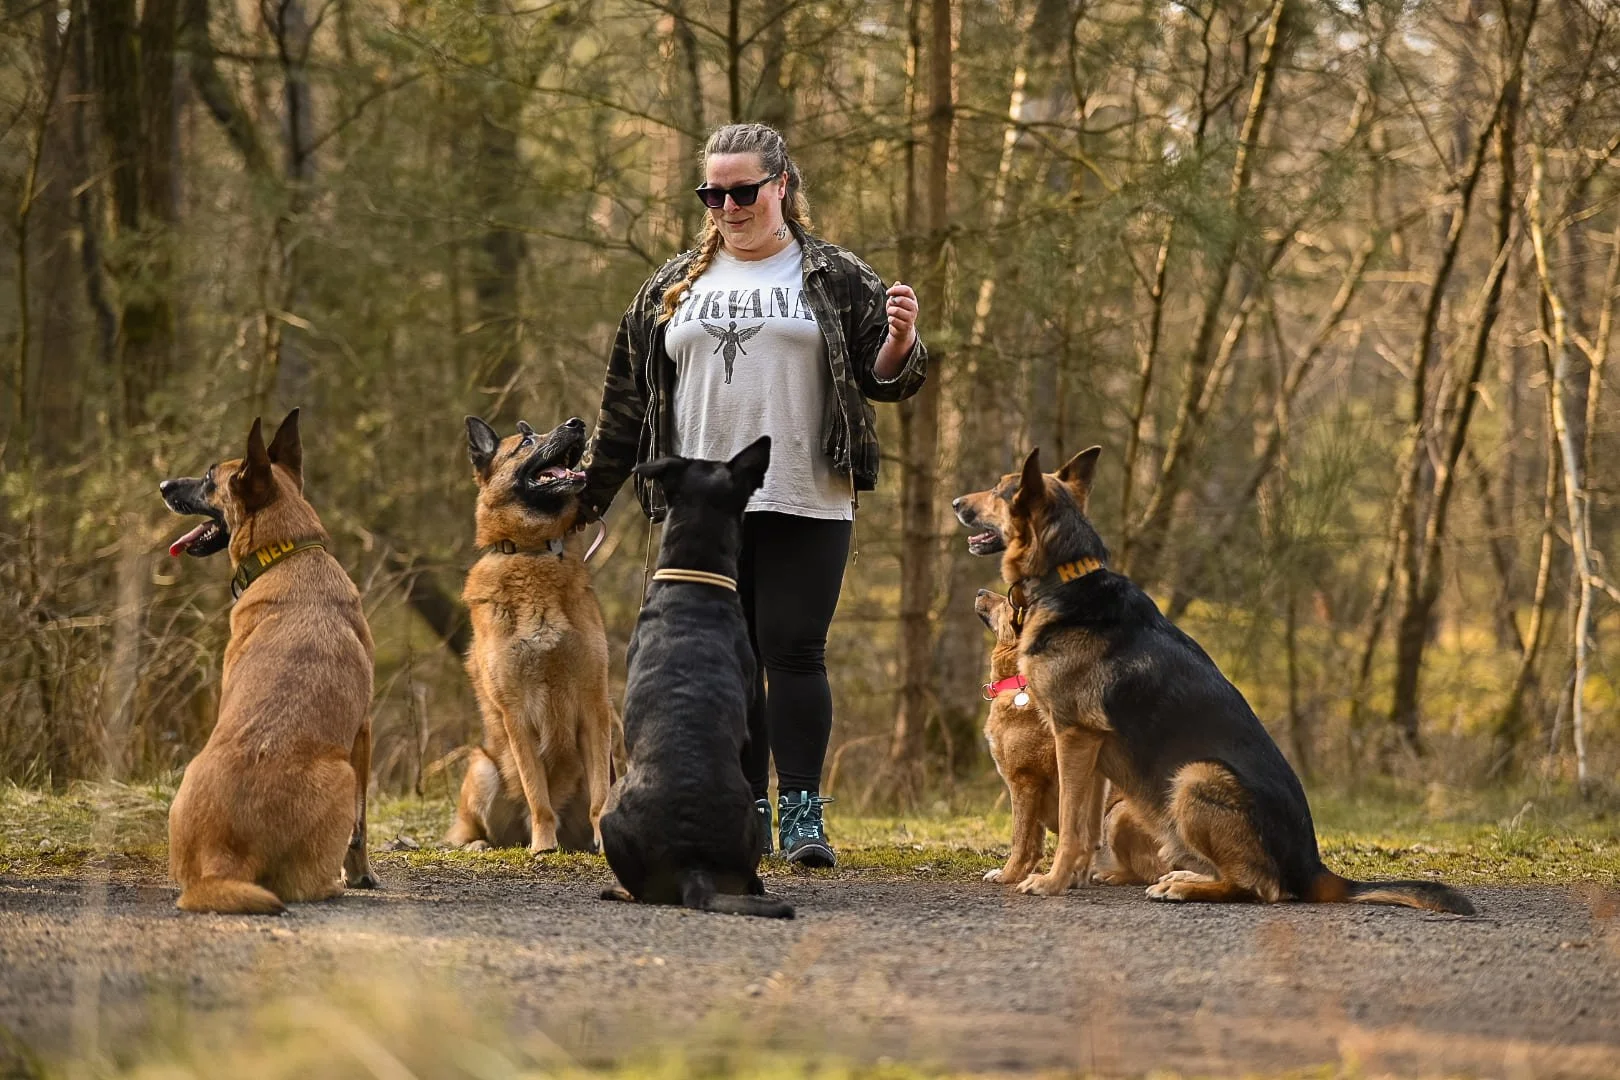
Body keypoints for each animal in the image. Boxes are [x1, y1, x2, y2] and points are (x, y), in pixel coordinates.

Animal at [159, 409, 377, 914]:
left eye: (207, 478)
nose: (162, 485)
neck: (288, 555)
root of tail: (223, 856)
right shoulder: (363, 732)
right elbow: (361, 828)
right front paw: (361, 875)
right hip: (342, 772)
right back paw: (334, 884)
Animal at [444, 416, 616, 854]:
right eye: (525, 441)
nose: (577, 423)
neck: (534, 552)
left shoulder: (595, 705)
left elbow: (601, 797)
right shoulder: (516, 715)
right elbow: (537, 795)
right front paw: (543, 844)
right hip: (482, 767)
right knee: (475, 831)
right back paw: (483, 844)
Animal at [976, 589, 1166, 888]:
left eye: (1007, 603)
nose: (980, 591)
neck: (1018, 683)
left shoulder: (1024, 782)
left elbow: (1019, 839)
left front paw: (1009, 875)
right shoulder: (1032, 791)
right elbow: (1033, 843)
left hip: (1116, 815)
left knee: (1152, 872)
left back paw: (1110, 875)